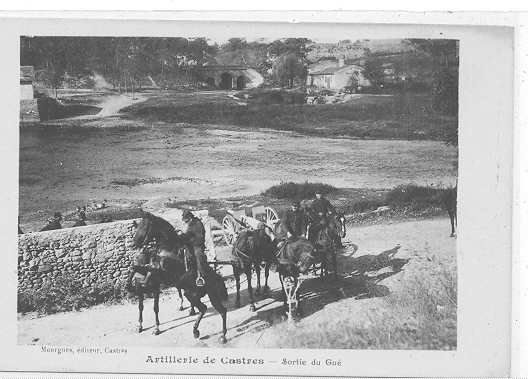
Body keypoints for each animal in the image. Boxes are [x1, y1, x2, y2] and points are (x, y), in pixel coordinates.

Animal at [130, 214, 229, 344]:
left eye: (145, 225)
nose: (134, 242)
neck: (169, 247)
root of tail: (217, 278)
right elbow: (138, 268)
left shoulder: (164, 273)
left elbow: (151, 270)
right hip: (191, 295)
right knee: (204, 309)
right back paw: (196, 330)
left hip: (212, 297)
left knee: (221, 312)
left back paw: (222, 336)